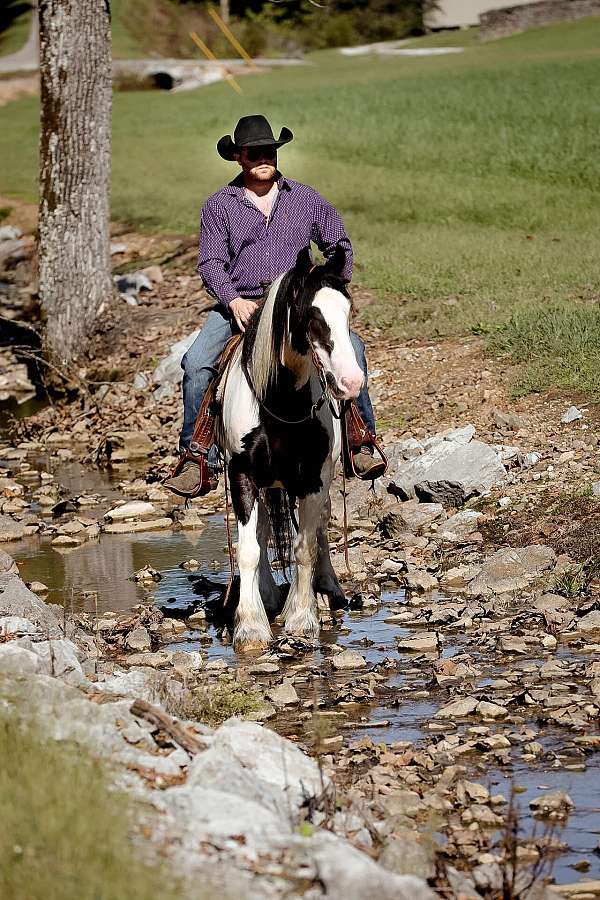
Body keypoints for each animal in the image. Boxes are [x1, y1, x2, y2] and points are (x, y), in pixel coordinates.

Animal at [218, 248, 364, 648]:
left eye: (348, 311)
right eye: (312, 315)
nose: (351, 382)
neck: (280, 402)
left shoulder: (314, 479)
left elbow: (305, 546)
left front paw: (301, 617)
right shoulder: (242, 474)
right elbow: (249, 549)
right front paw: (250, 626)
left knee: (320, 529)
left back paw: (329, 588)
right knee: (263, 531)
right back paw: (266, 596)